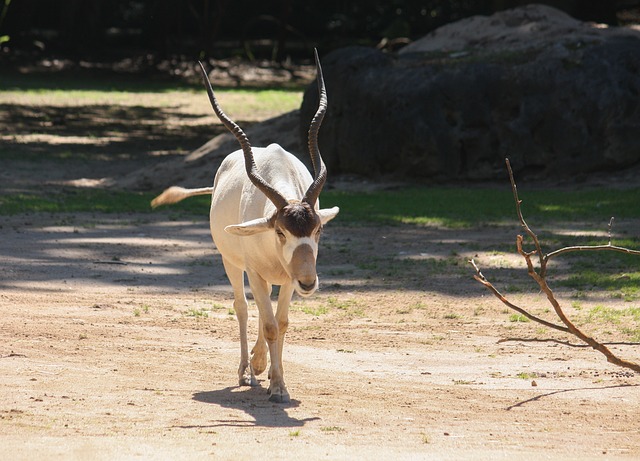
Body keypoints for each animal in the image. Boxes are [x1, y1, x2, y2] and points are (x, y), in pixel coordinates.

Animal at [151, 51, 340, 402]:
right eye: (280, 231)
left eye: (318, 230)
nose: (309, 283)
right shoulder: (255, 272)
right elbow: (267, 323)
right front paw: (273, 384)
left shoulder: (289, 278)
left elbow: (280, 323)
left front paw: (276, 379)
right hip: (233, 263)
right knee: (241, 307)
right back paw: (246, 371)